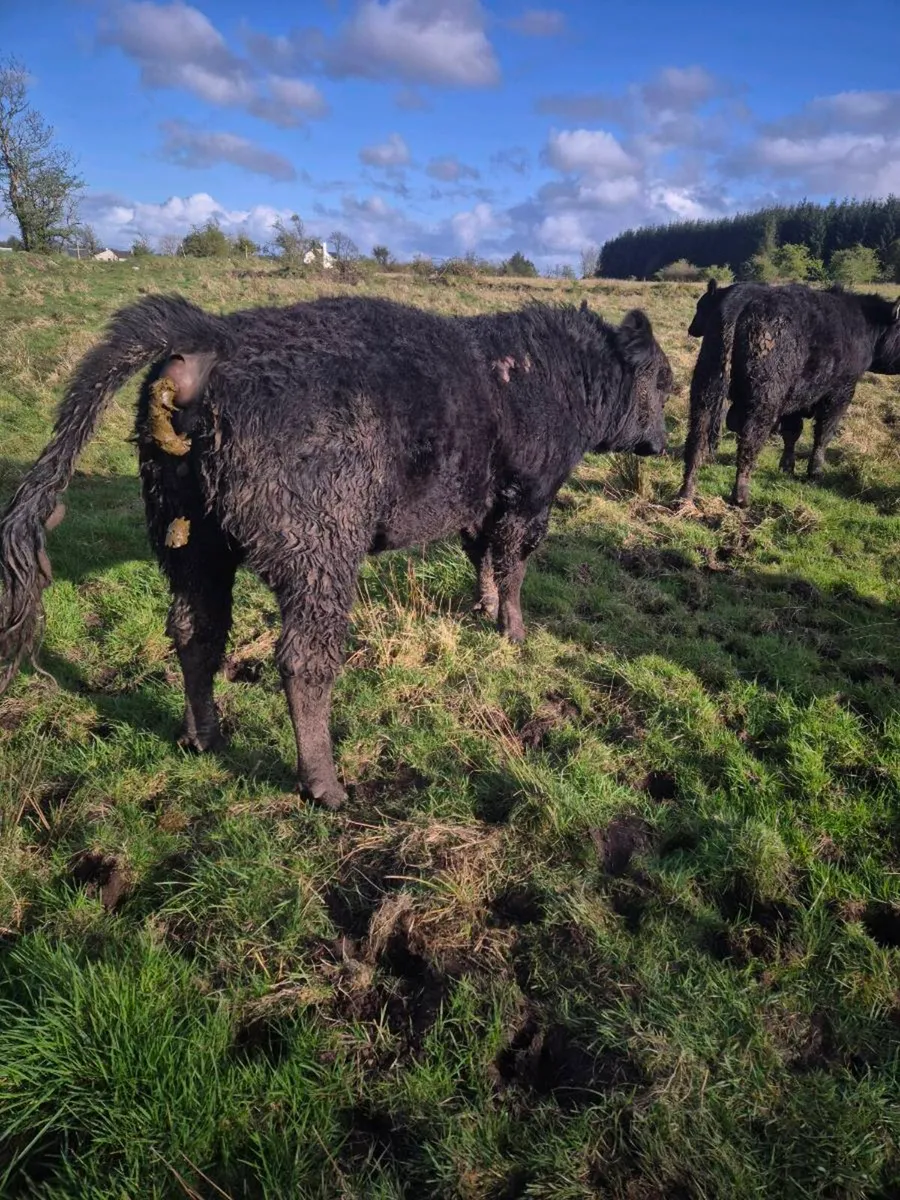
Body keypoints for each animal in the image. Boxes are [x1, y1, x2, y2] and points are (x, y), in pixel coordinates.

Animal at [0, 293, 673, 810]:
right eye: (662, 383)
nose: (663, 444)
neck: (545, 376)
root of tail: (216, 333)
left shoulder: (481, 503)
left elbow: (481, 556)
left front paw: (483, 609)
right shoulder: (530, 496)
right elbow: (512, 565)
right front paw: (512, 629)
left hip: (189, 537)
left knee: (195, 630)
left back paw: (203, 737)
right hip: (319, 555)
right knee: (304, 661)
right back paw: (325, 786)